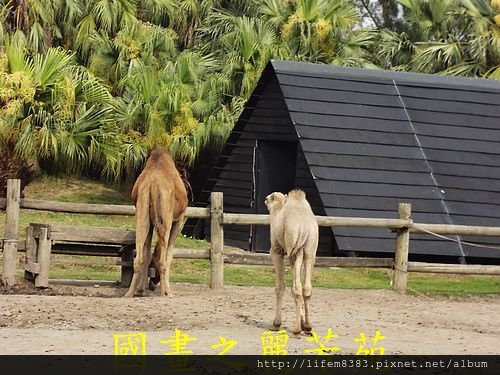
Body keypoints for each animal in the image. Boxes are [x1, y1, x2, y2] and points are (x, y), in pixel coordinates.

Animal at [124, 148, 188, 298]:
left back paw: (129, 293)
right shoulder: (179, 220)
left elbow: (147, 254)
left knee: (139, 257)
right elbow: (169, 255)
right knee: (163, 259)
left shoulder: (152, 223)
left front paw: (140, 290)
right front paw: (167, 290)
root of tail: (153, 184)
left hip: (142, 212)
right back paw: (166, 293)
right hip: (166, 219)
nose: (152, 285)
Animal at [266, 191, 320, 334]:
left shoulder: (277, 250)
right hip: (309, 249)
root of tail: (304, 228)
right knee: (306, 288)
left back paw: (296, 329)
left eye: (270, 198)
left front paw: (276, 324)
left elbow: (280, 286)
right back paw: (308, 326)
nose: (265, 199)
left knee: (297, 288)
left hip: (295, 249)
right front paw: (303, 323)